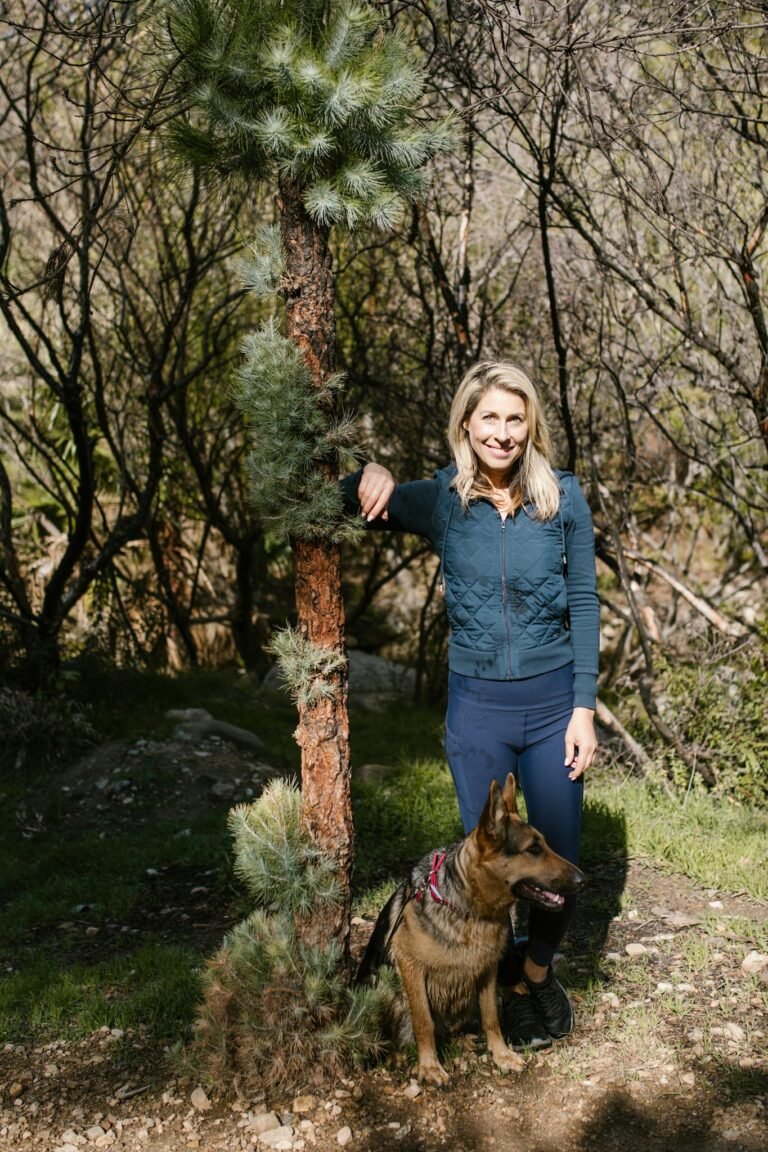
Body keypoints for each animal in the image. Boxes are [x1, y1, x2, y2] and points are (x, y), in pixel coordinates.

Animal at [356, 774, 584, 1078]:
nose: (583, 880)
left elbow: (491, 1016)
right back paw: (396, 1057)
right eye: (533, 849)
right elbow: (423, 1020)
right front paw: (429, 1066)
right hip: (378, 986)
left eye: (545, 845)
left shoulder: (487, 968)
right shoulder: (410, 965)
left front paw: (500, 1054)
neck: (470, 909)